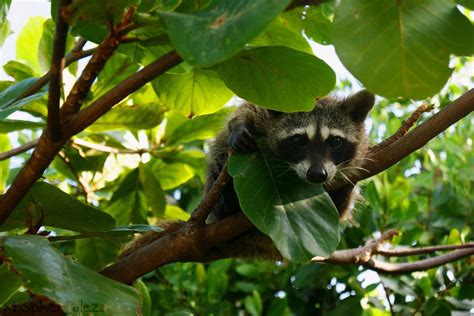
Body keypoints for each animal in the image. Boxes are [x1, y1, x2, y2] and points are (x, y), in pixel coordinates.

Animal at [206, 89, 376, 223]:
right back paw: (227, 199)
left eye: (335, 141)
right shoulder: (265, 113)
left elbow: (341, 211)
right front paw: (239, 126)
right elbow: (246, 109)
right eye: (298, 140)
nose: (317, 174)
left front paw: (347, 185)